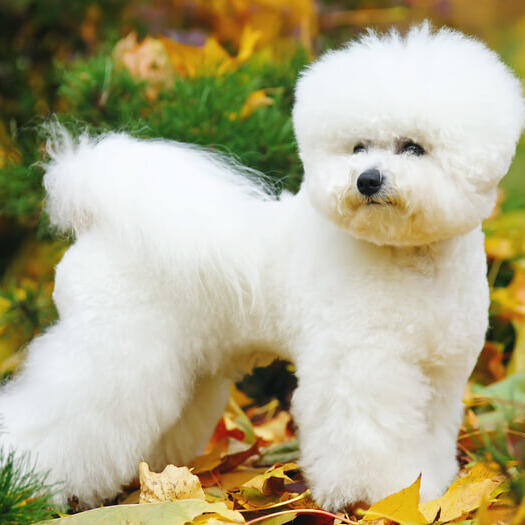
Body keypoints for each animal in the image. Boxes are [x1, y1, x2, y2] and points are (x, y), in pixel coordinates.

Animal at [1, 22, 524, 510]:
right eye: (357, 147)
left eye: (413, 147)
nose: (367, 180)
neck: (407, 258)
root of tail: (99, 223)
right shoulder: (363, 367)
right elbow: (370, 437)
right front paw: (383, 496)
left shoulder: (441, 375)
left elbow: (431, 436)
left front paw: (430, 490)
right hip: (113, 351)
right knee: (57, 420)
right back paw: (27, 485)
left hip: (180, 364)